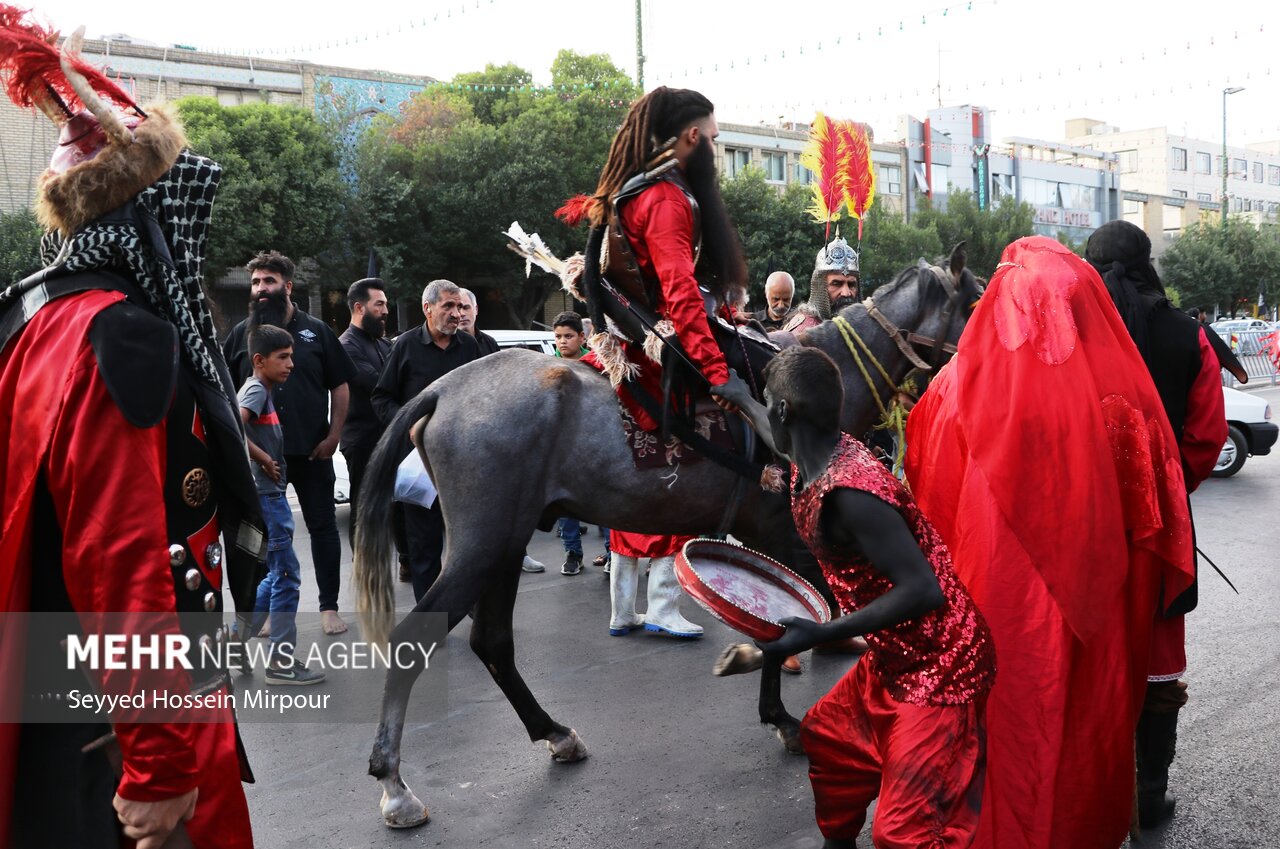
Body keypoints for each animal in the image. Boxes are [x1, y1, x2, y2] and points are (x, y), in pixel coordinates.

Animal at [350, 247, 977, 829]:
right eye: (975, 302)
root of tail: (444, 389)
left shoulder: (772, 536)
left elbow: (781, 621)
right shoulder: (786, 533)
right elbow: (790, 619)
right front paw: (788, 713)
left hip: (505, 541)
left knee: (493, 643)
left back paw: (554, 733)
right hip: (483, 544)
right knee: (416, 641)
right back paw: (395, 785)